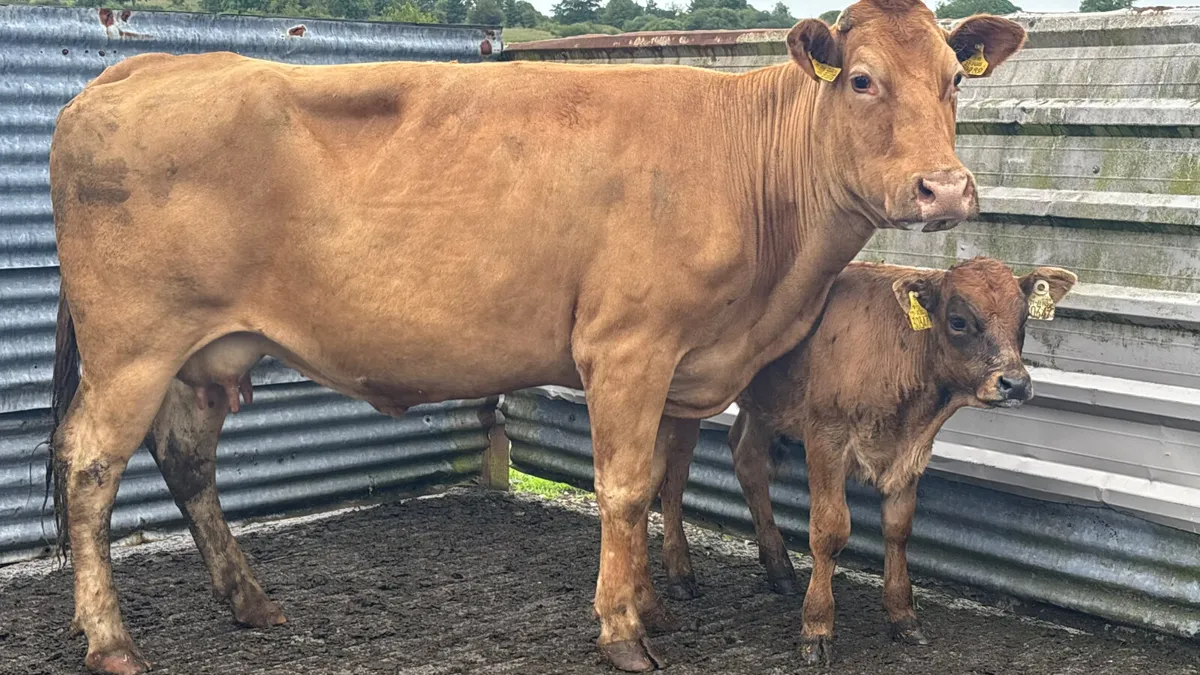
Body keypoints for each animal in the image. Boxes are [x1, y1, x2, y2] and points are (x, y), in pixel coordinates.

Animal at [45, 1, 1025, 672]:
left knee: (186, 462)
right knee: (89, 471)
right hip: (133, 348)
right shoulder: (628, 346)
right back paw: (110, 639)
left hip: (202, 354)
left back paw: (248, 601)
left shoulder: (682, 363)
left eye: (956, 78)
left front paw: (653, 606)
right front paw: (624, 631)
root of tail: (140, 68)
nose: (945, 188)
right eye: (862, 79)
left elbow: (659, 479)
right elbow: (623, 488)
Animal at [657, 257, 1078, 666]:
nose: (1015, 384)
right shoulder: (824, 439)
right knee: (674, 477)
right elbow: (829, 531)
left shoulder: (911, 453)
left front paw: (903, 616)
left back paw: (779, 567)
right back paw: (680, 573)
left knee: (747, 460)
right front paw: (817, 628)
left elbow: (898, 529)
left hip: (764, 405)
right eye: (958, 321)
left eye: (1023, 320)